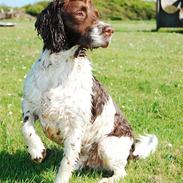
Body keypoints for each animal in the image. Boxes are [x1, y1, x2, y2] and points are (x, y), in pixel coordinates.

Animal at [22, 0, 158, 182]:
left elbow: (65, 165)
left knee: (121, 172)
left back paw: (106, 179)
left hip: (106, 145)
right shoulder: (29, 105)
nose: (110, 30)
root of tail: (132, 150)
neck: (59, 68)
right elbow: (26, 129)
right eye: (80, 13)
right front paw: (37, 151)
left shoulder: (75, 126)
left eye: (97, 14)